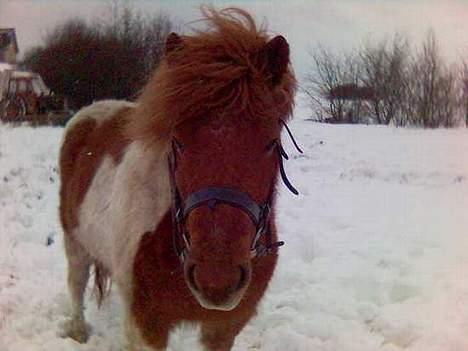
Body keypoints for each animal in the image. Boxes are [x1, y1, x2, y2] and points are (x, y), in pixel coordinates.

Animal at [57, 6, 296, 351]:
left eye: (270, 143)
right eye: (178, 141)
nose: (216, 279)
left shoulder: (223, 327)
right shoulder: (147, 325)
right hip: (74, 241)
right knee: (76, 284)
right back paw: (77, 330)